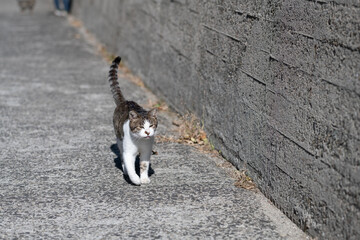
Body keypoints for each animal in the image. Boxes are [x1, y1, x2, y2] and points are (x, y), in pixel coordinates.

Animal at [107, 56, 157, 186]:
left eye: (151, 125)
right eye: (141, 126)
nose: (147, 132)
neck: (140, 141)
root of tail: (125, 101)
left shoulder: (146, 151)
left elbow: (144, 165)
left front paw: (144, 178)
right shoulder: (129, 152)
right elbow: (130, 166)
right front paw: (135, 179)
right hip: (120, 139)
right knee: (122, 156)